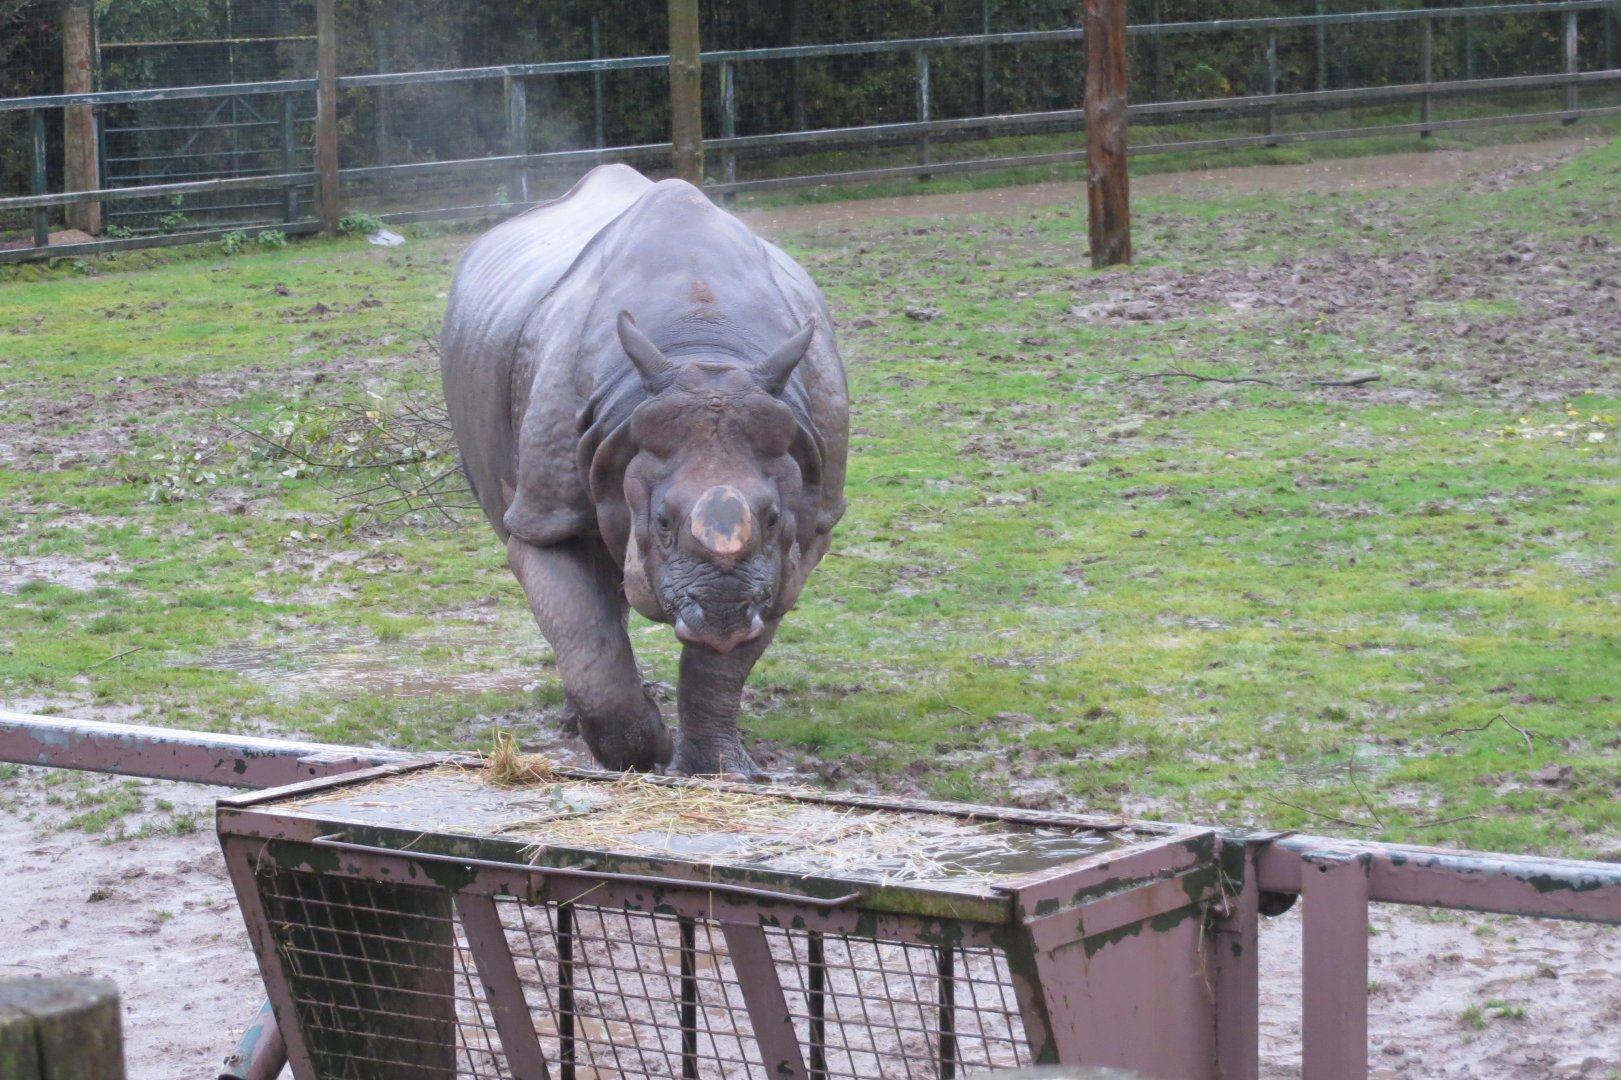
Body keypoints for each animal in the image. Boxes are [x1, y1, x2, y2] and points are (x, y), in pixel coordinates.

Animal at [440, 164, 849, 777]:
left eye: (775, 519)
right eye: (659, 522)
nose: (722, 615)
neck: (704, 348)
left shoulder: (810, 519)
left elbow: (725, 662)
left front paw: (715, 770)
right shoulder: (546, 511)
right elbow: (582, 630)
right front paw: (644, 751)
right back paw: (579, 724)